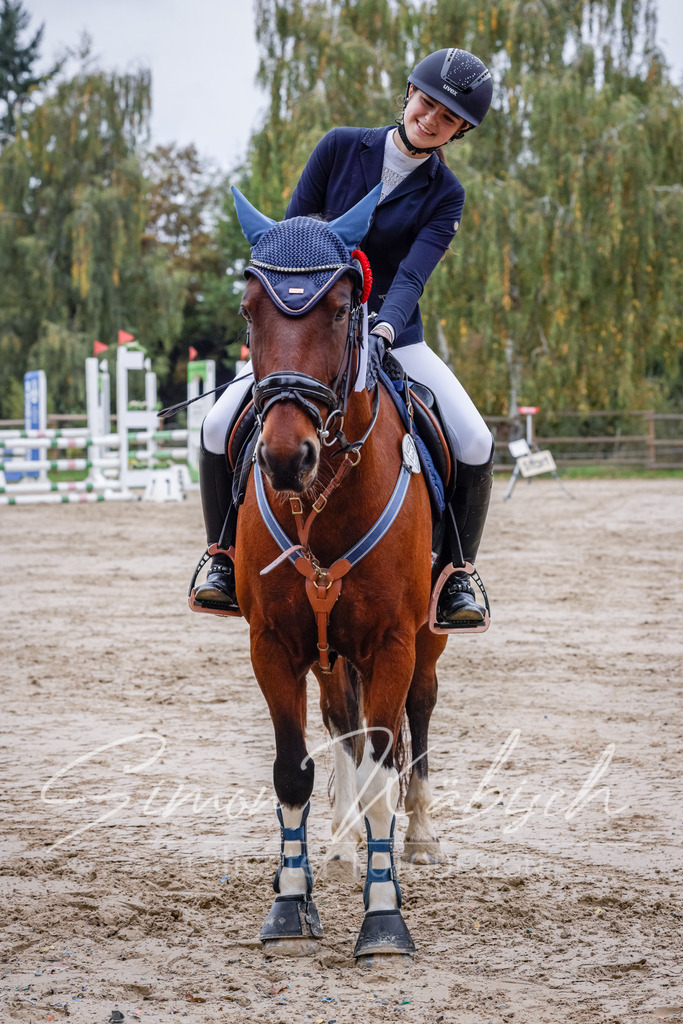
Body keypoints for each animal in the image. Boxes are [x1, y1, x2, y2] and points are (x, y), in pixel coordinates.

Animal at [228, 184, 449, 957]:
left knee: (419, 713)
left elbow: (385, 771)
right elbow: (293, 770)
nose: (284, 457)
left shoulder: (393, 642)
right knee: (342, 723)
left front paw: (383, 918)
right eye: (250, 310)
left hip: (427, 638)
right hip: (329, 654)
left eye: (337, 307)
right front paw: (291, 903)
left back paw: (419, 835)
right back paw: (341, 841)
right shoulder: (273, 645)